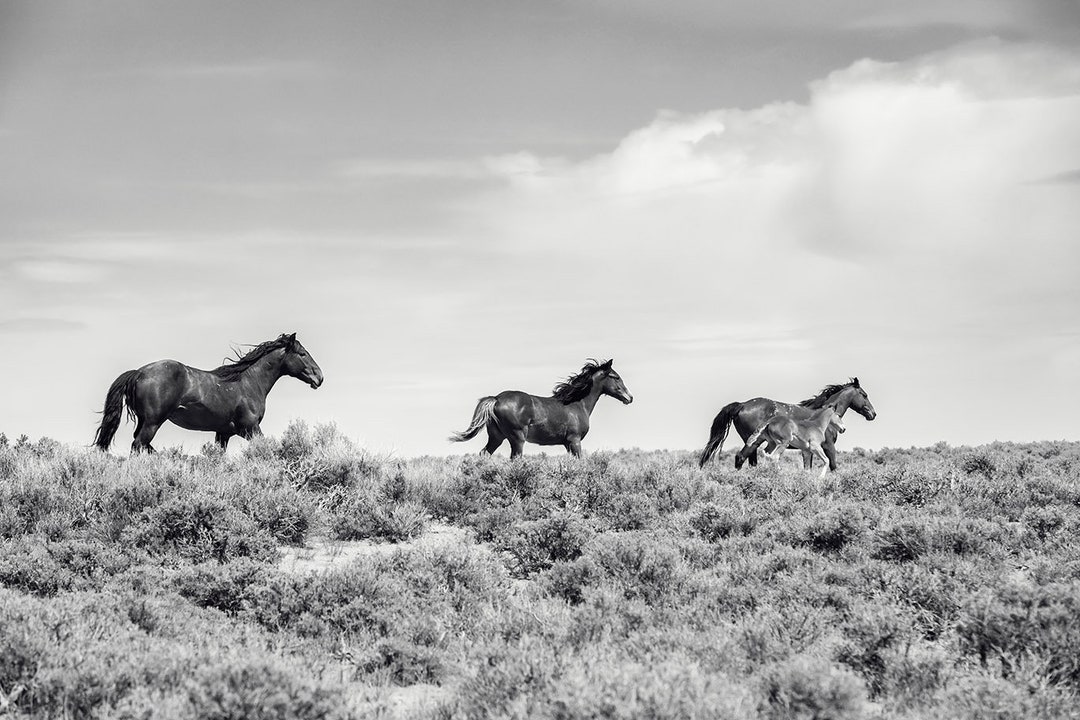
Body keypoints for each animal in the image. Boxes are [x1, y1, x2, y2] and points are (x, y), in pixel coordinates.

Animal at [93, 333, 323, 453]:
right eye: (302, 354)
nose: (320, 377)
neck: (248, 383)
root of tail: (139, 372)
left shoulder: (224, 433)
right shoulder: (251, 428)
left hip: (145, 421)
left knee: (142, 445)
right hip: (152, 422)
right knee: (138, 445)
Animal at [449, 358, 633, 458]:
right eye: (616, 377)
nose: (629, 397)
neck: (577, 404)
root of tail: (496, 398)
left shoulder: (567, 443)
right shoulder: (575, 441)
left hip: (497, 437)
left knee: (484, 453)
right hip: (517, 438)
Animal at [698, 377, 876, 470]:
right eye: (864, 395)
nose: (873, 414)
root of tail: (742, 405)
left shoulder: (808, 449)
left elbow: (808, 467)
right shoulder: (828, 446)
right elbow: (833, 466)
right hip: (754, 441)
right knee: (742, 457)